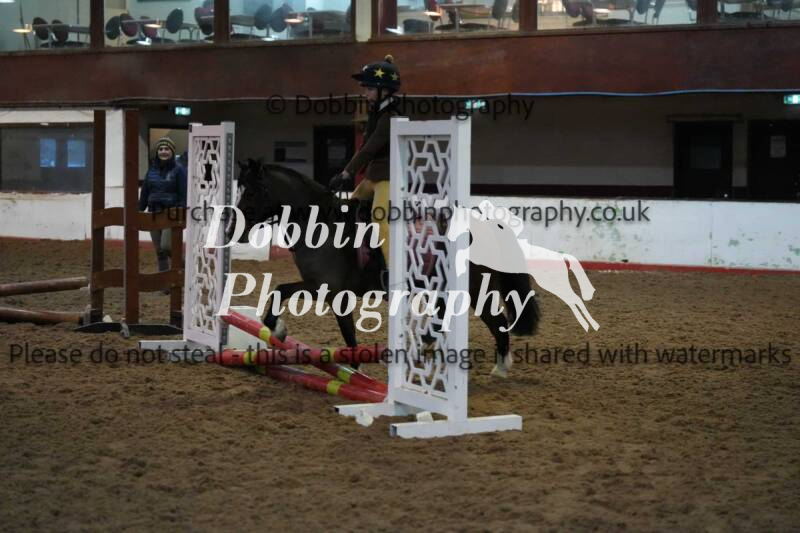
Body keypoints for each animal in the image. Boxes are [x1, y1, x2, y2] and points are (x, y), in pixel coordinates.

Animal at [229, 159, 541, 377]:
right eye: (240, 190)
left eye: (254, 191)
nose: (234, 229)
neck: (321, 224)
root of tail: (485, 223)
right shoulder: (320, 287)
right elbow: (280, 291)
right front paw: (277, 328)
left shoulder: (330, 290)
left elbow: (346, 330)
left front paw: (355, 369)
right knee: (449, 321)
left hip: (473, 291)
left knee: (497, 323)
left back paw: (499, 367)